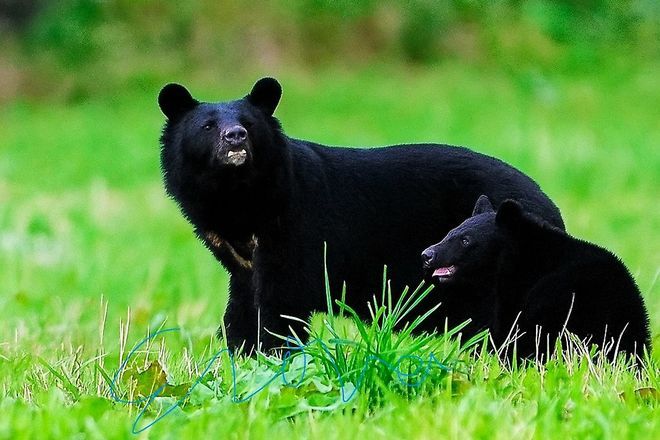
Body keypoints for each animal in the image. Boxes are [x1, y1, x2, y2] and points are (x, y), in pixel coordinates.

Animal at [158, 77, 565, 352]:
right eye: (207, 126)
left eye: (249, 123)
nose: (235, 138)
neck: (240, 197)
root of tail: (550, 205)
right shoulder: (236, 257)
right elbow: (241, 305)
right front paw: (241, 354)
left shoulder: (294, 232)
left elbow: (282, 301)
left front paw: (275, 356)